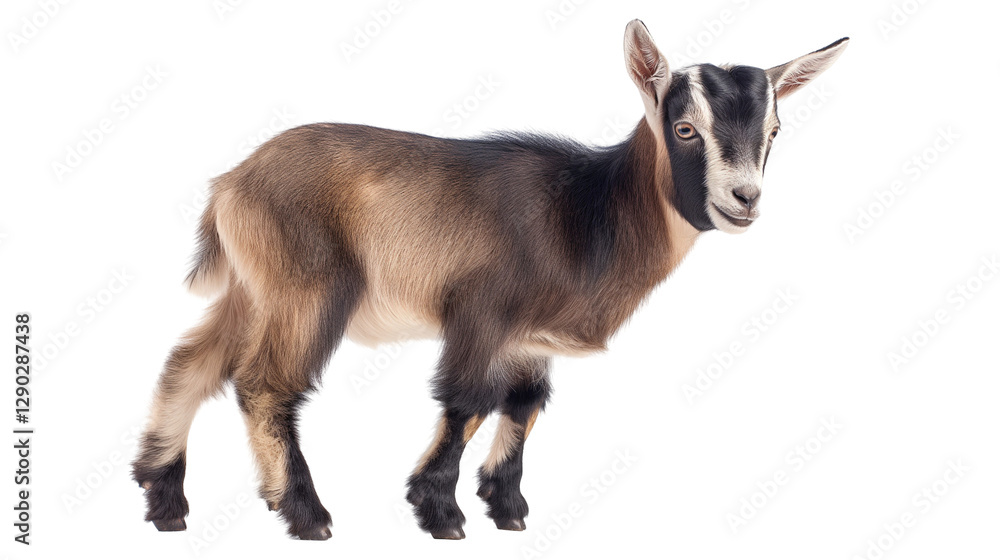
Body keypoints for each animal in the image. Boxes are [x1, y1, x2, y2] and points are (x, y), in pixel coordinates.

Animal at [132, 20, 848, 540]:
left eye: (775, 131)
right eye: (684, 128)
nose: (744, 199)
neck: (590, 209)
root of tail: (231, 183)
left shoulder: (531, 338)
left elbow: (524, 404)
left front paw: (507, 508)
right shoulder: (482, 315)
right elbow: (467, 399)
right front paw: (441, 515)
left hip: (251, 290)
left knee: (189, 363)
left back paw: (163, 498)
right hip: (305, 289)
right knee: (264, 384)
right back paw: (308, 517)